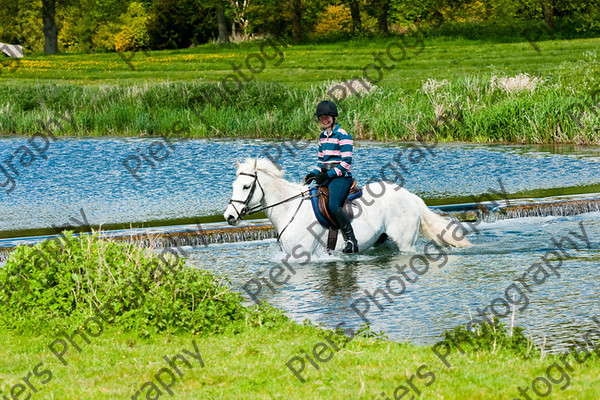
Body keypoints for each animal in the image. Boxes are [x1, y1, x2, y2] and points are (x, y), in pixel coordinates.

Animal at [223, 158, 472, 255]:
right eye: (234, 185)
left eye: (246, 186)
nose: (229, 217)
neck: (289, 209)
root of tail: (410, 196)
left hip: (405, 244)